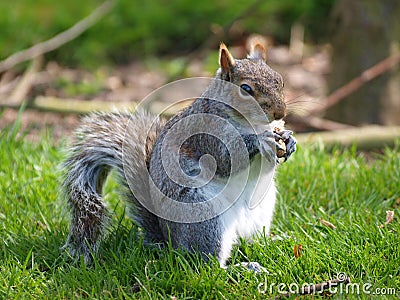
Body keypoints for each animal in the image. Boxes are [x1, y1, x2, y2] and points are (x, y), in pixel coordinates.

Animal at [61, 41, 296, 270]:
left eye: (281, 81)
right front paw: (261, 139)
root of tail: (170, 243)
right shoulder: (206, 134)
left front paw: (288, 139)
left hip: (261, 208)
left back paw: (275, 240)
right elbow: (225, 160)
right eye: (246, 89)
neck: (252, 123)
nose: (280, 113)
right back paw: (241, 268)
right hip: (202, 215)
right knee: (207, 263)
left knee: (250, 240)